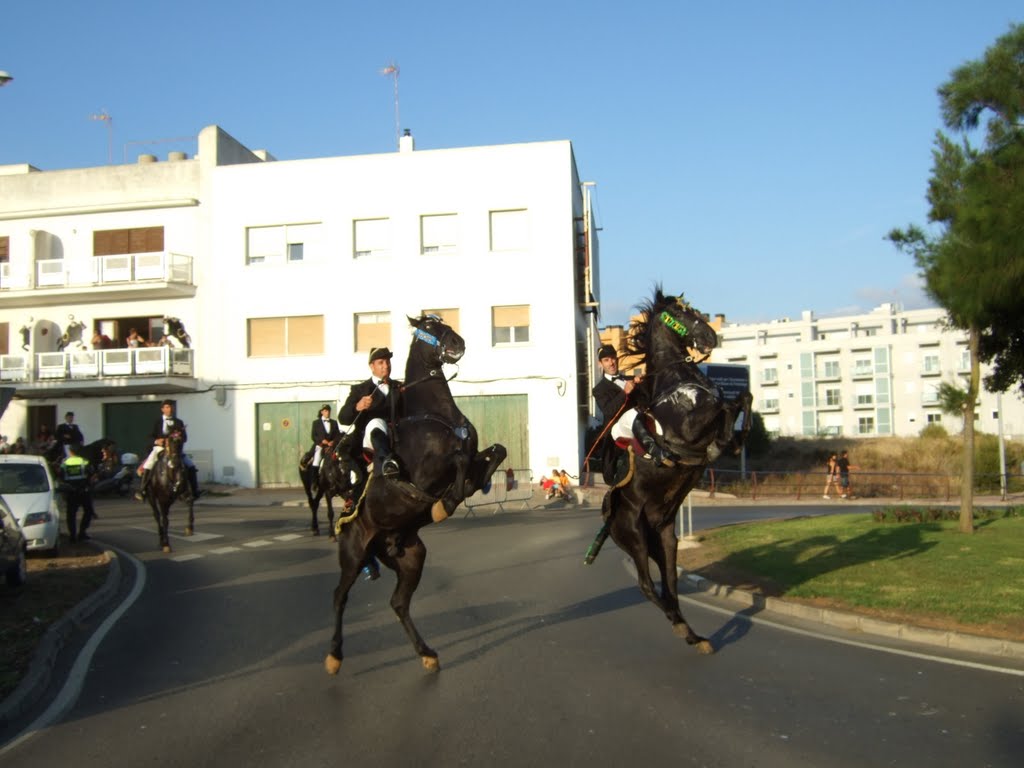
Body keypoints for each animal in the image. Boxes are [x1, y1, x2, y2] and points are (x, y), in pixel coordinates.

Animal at [323, 315, 507, 675]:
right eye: (430, 327)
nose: (458, 343)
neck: (437, 415)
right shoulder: (428, 473)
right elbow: (458, 462)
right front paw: (445, 504)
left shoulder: (473, 454)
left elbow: (495, 452)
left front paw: (472, 489)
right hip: (352, 556)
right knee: (338, 596)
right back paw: (334, 656)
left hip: (411, 558)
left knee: (398, 603)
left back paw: (427, 653)